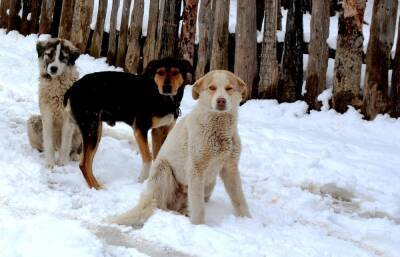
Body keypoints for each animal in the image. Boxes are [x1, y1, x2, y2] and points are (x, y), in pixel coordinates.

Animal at [27, 37, 81, 167]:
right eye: (49, 54)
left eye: (63, 57)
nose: (53, 68)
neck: (56, 84)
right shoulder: (47, 116)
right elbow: (48, 141)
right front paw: (50, 164)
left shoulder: (68, 119)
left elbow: (66, 144)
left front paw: (62, 163)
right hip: (33, 121)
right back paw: (42, 154)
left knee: (74, 148)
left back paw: (75, 155)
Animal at [63, 56, 192, 188]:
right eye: (160, 72)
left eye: (175, 72)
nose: (167, 87)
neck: (162, 98)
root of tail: (73, 88)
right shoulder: (140, 129)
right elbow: (148, 157)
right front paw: (142, 180)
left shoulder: (160, 131)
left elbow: (157, 157)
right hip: (92, 129)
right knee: (84, 164)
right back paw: (98, 187)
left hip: (94, 129)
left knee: (86, 163)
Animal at [110, 69, 250, 224]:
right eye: (212, 88)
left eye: (229, 88)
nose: (221, 101)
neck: (219, 131)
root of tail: (149, 196)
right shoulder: (196, 170)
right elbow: (199, 209)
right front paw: (198, 226)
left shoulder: (230, 169)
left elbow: (240, 200)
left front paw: (247, 220)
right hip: (163, 170)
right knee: (160, 206)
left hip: (209, 184)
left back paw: (184, 213)